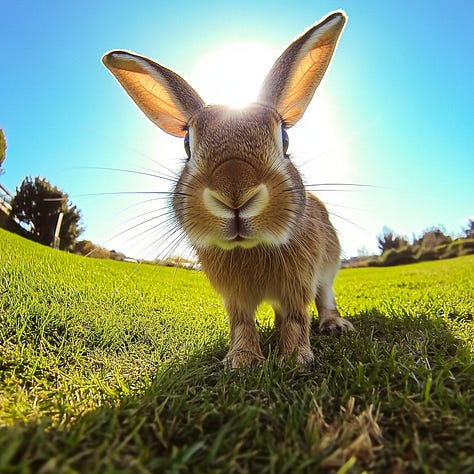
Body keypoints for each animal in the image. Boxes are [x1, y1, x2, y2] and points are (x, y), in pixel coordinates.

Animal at [104, 10, 356, 366]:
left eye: (285, 139)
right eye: (187, 145)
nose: (234, 193)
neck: (250, 248)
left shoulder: (300, 282)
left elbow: (298, 317)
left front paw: (295, 359)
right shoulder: (234, 296)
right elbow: (242, 321)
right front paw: (242, 360)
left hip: (328, 268)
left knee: (325, 299)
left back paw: (334, 325)